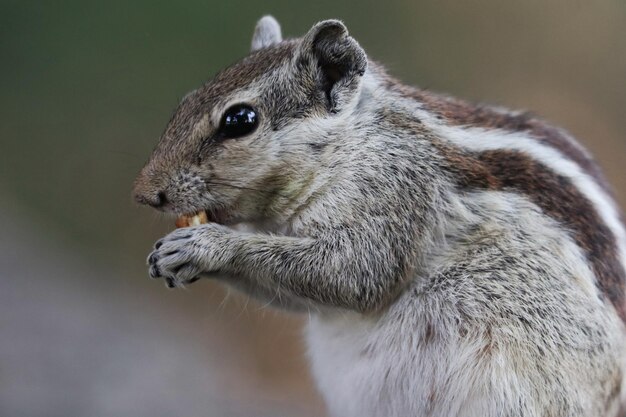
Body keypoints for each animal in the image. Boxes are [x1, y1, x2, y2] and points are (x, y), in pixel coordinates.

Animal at [133, 14, 624, 414]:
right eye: (186, 101)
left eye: (240, 120)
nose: (143, 194)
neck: (354, 142)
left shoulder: (399, 192)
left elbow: (356, 272)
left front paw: (207, 246)